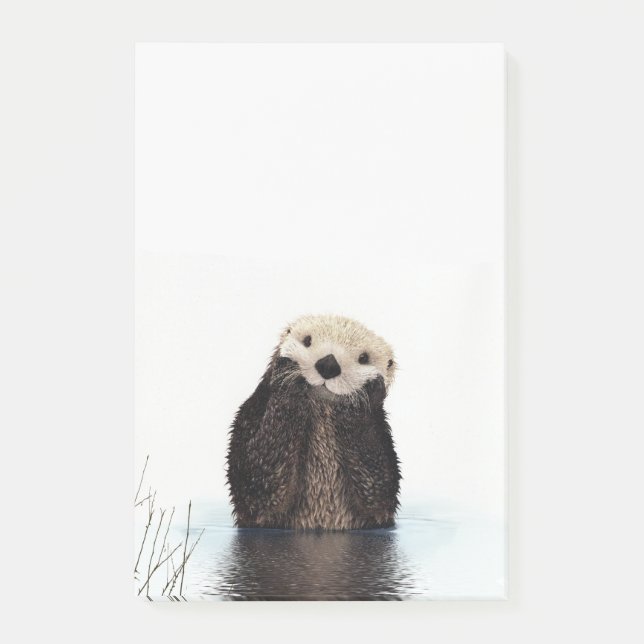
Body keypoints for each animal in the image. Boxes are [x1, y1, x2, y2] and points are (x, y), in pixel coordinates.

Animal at [226, 314, 401, 530]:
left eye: (364, 358)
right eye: (307, 340)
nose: (329, 364)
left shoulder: (382, 440)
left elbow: (378, 489)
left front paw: (364, 395)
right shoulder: (250, 416)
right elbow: (256, 481)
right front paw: (288, 375)